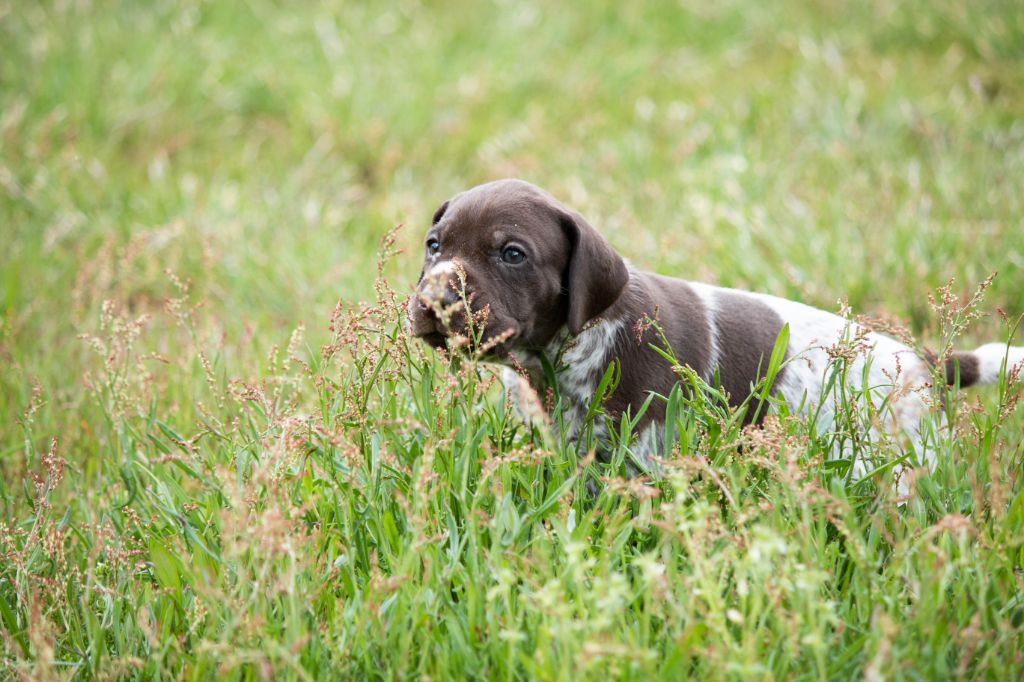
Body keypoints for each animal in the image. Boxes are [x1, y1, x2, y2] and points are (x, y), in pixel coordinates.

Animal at [409, 176, 1024, 483]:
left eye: (512, 254)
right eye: (434, 245)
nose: (434, 300)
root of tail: (924, 362)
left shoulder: (645, 459)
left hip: (895, 456)